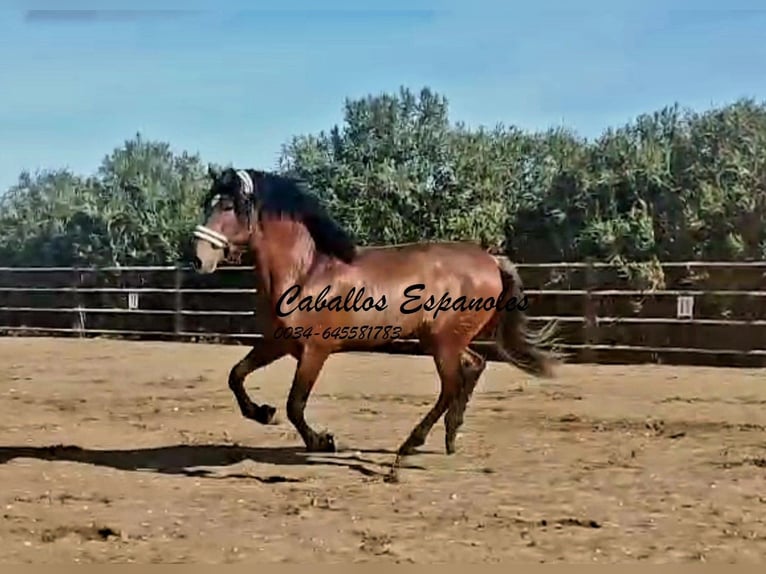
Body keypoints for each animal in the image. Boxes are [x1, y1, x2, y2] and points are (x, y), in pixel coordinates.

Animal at [191, 167, 559, 480]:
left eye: (228, 206)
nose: (198, 258)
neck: (306, 271)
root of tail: (491, 261)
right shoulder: (278, 342)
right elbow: (236, 376)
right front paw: (263, 413)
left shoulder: (315, 350)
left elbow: (295, 404)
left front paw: (322, 441)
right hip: (448, 339)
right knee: (474, 366)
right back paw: (450, 437)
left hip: (442, 342)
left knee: (451, 385)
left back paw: (406, 451)